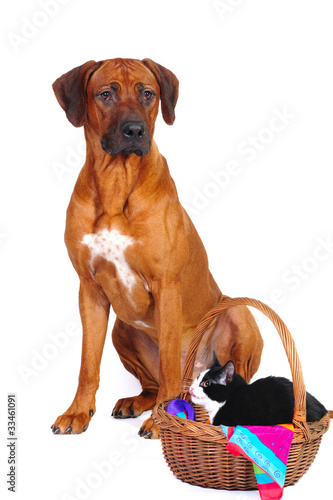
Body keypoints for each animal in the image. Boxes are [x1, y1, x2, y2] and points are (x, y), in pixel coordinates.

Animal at [50, 58, 262, 438]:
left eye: (147, 94)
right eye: (105, 94)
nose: (134, 130)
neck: (116, 183)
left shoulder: (166, 285)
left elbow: (167, 365)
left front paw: (165, 420)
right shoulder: (89, 289)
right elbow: (87, 364)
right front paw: (77, 412)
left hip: (237, 312)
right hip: (121, 329)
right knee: (152, 384)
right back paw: (138, 402)